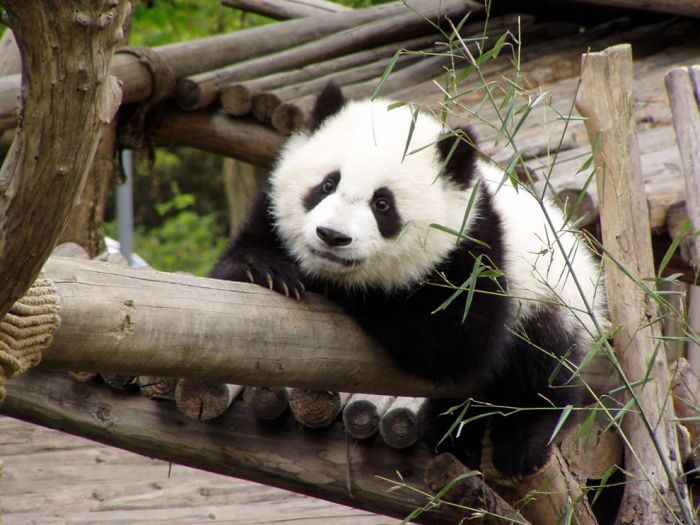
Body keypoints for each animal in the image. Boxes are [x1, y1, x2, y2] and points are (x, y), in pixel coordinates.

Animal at [209, 82, 608, 478]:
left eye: (383, 204)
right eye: (327, 185)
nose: (332, 236)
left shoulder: (477, 257)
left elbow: (450, 340)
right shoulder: (269, 211)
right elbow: (243, 257)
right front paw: (267, 270)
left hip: (554, 298)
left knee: (541, 371)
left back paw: (517, 443)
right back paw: (451, 430)